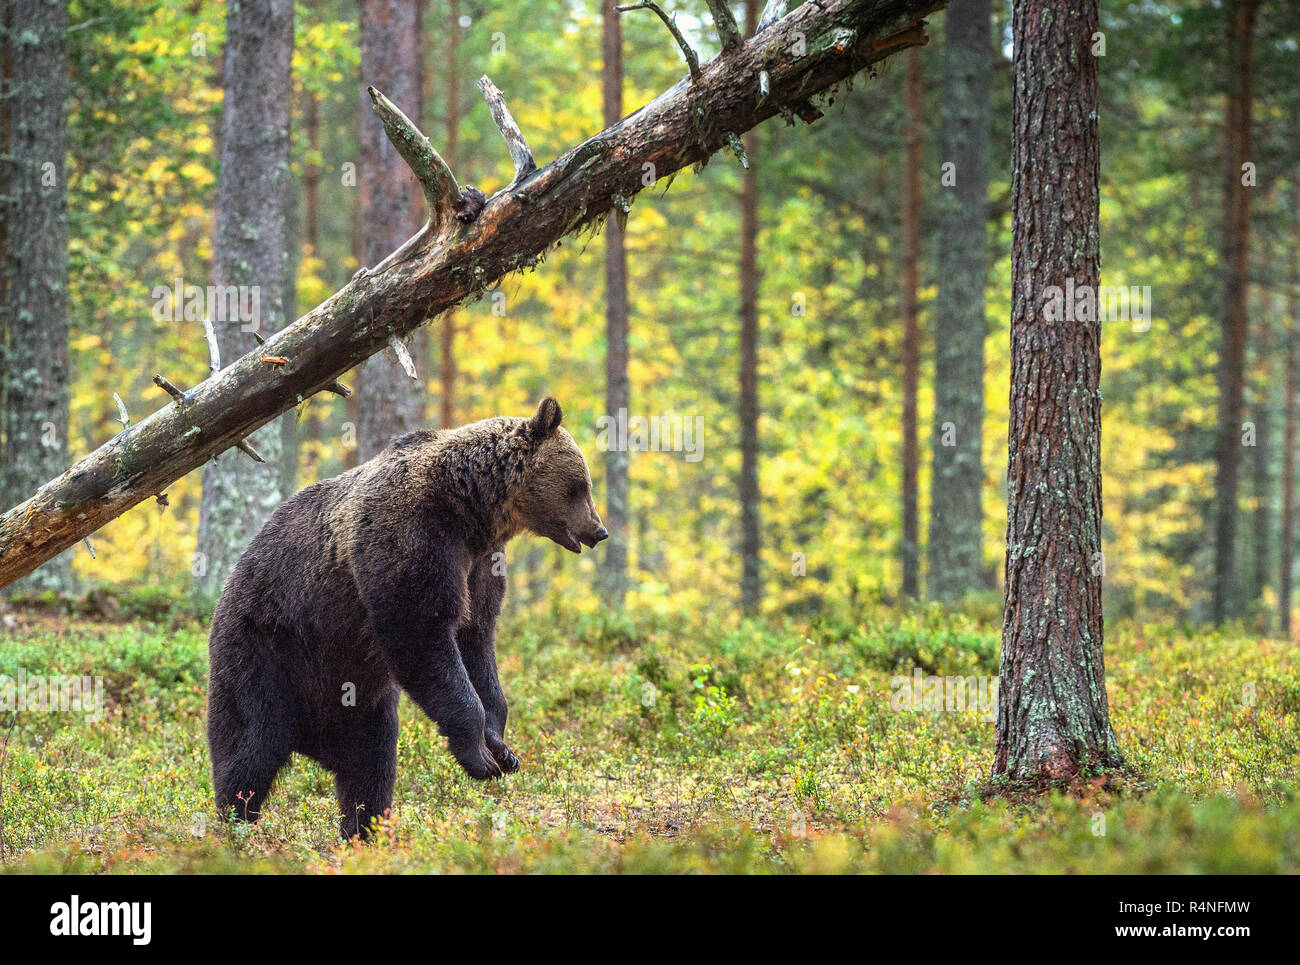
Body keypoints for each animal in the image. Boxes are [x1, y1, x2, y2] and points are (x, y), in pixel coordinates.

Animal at [205, 397, 605, 837]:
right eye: (580, 485)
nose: (598, 530)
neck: (469, 510)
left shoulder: (482, 564)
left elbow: (476, 640)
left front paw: (502, 747)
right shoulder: (410, 535)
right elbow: (421, 630)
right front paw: (479, 756)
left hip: (361, 701)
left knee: (372, 765)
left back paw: (364, 831)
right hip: (267, 646)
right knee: (251, 742)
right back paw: (235, 825)